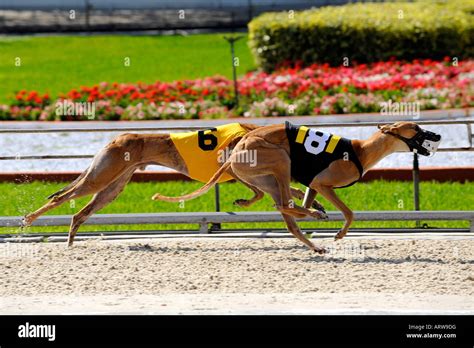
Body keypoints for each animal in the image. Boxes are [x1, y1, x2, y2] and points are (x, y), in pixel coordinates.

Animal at [21, 122, 322, 245]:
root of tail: (117, 138)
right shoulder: (236, 170)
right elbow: (260, 192)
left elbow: (274, 191)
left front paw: (312, 202)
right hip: (100, 177)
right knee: (60, 198)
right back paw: (29, 219)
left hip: (112, 187)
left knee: (80, 213)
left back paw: (71, 241)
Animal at [154, 121, 442, 253]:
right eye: (416, 128)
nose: (437, 135)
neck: (361, 150)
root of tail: (237, 148)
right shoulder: (324, 183)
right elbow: (350, 213)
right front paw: (338, 234)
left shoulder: (313, 185)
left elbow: (305, 199)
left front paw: (316, 212)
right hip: (280, 159)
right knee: (282, 203)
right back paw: (315, 216)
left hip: (268, 178)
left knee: (284, 209)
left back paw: (313, 237)